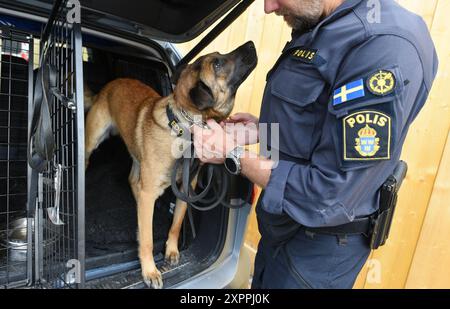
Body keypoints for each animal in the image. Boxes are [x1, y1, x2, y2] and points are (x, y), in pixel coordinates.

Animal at [84, 40, 256, 286]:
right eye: (217, 63)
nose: (251, 44)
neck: (186, 128)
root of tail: (109, 85)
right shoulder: (151, 191)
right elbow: (147, 239)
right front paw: (149, 270)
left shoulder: (186, 188)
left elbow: (176, 224)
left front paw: (171, 250)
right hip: (93, 140)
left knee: (133, 181)